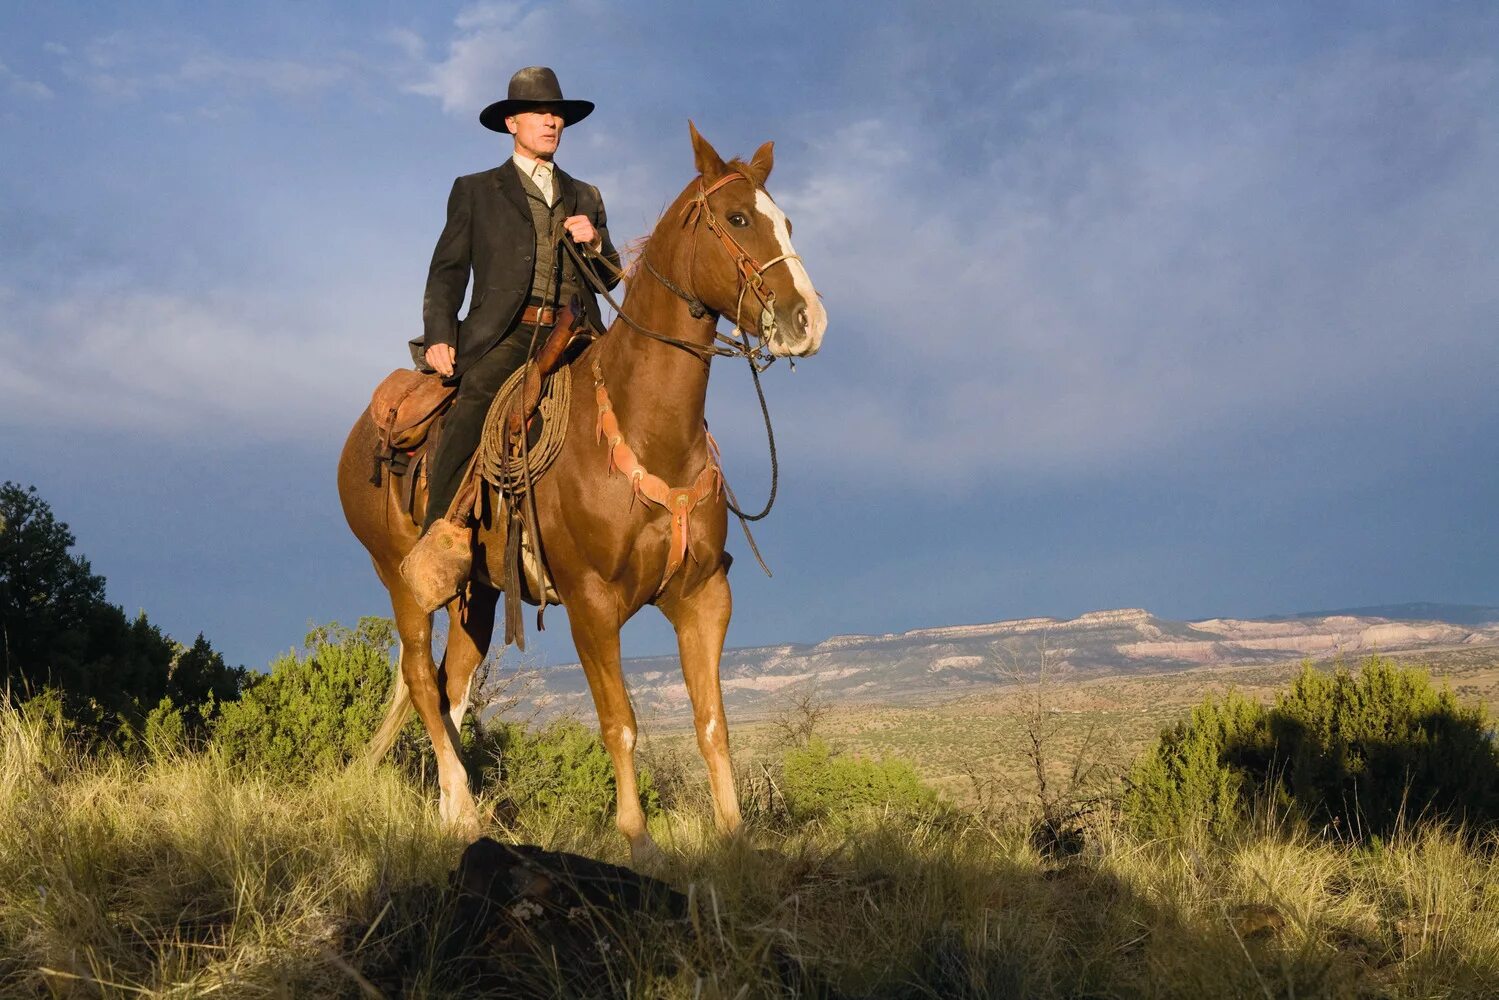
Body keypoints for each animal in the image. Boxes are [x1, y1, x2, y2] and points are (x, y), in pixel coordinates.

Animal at [335, 122, 827, 863]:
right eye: (739, 218)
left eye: (788, 221)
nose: (808, 321)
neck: (646, 427)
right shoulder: (592, 605)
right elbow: (618, 721)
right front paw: (638, 840)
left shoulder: (703, 596)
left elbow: (712, 722)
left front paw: (734, 836)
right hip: (400, 580)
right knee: (422, 679)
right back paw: (463, 810)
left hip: (479, 596)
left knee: (451, 687)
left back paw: (454, 810)